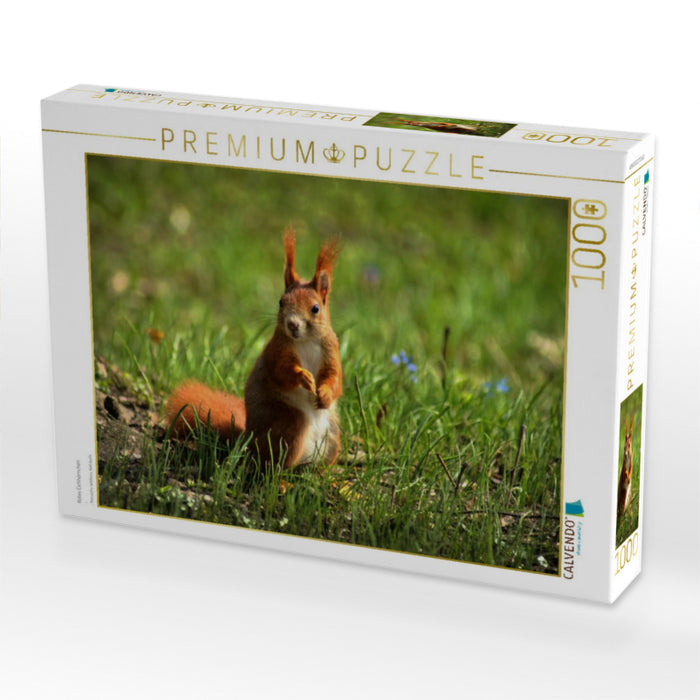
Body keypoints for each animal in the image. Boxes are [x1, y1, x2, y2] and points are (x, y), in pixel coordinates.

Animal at [165, 228, 343, 470]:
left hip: (332, 436)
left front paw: (324, 394)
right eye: (281, 302)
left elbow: (335, 379)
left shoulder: (331, 350)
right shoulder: (277, 350)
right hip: (289, 425)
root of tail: (248, 443)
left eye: (315, 308)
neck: (306, 340)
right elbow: (281, 371)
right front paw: (303, 376)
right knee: (274, 464)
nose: (292, 324)